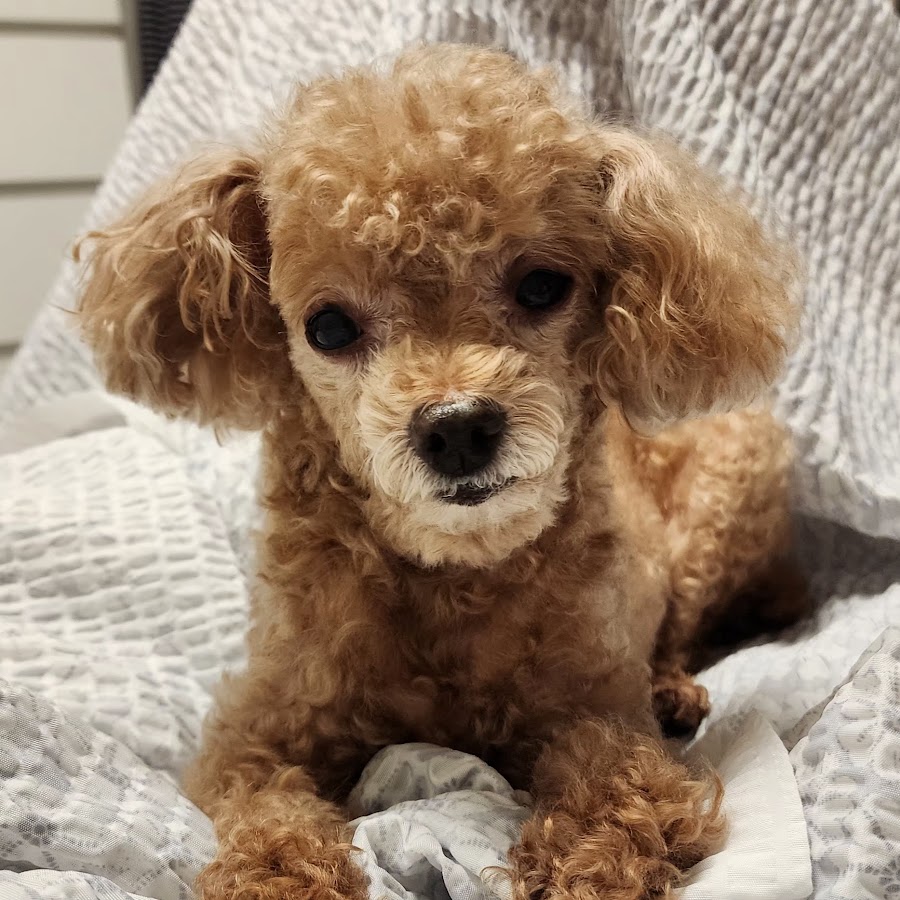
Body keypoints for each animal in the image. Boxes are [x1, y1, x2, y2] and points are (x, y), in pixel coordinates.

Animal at [77, 44, 803, 900]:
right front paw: (279, 873)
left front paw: (585, 858)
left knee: (679, 628)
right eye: (328, 327)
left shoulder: (594, 707)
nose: (457, 429)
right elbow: (264, 803)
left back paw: (674, 689)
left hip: (728, 488)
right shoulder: (260, 727)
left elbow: (617, 782)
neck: (451, 574)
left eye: (542, 286)